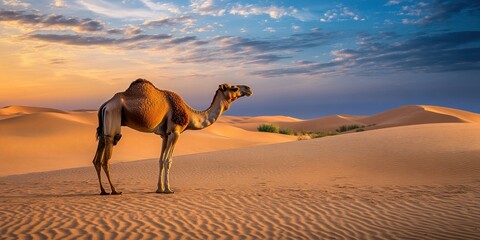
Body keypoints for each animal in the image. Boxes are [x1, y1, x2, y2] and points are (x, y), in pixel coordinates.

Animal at [91, 79, 253, 195]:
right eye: (234, 88)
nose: (249, 89)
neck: (190, 114)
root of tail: (105, 104)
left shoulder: (165, 134)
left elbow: (160, 160)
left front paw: (159, 189)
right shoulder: (175, 132)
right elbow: (168, 161)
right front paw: (169, 189)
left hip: (104, 126)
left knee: (97, 158)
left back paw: (103, 191)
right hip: (113, 121)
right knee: (106, 158)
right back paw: (114, 191)